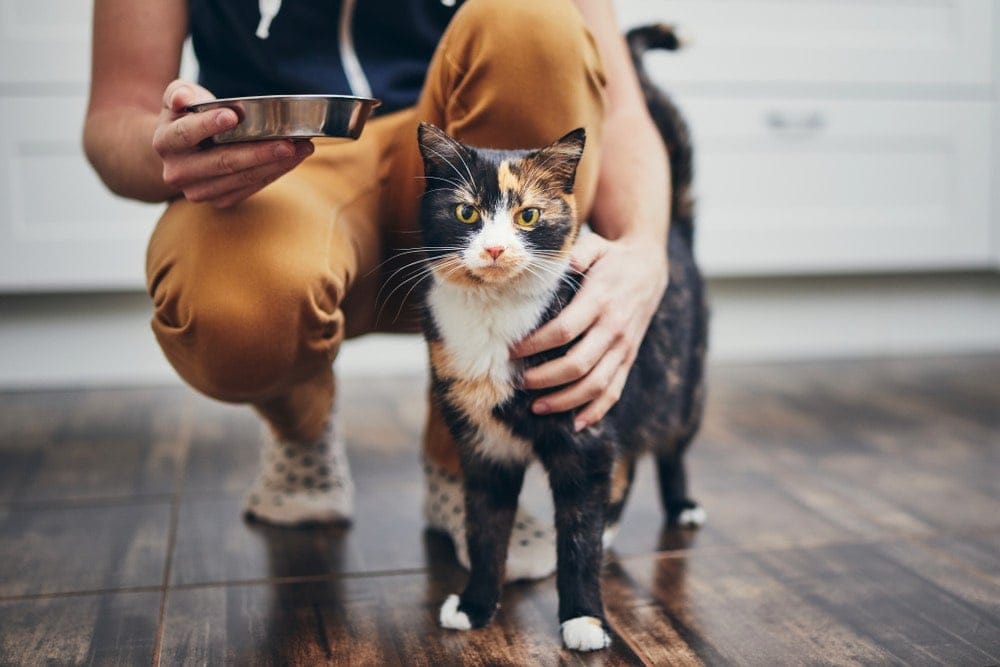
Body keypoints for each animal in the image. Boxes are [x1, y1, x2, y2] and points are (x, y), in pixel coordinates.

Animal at [414, 24, 704, 652]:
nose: (496, 249)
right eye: (466, 213)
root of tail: (673, 232)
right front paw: (475, 606)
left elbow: (576, 536)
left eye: (527, 216)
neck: (494, 317)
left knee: (669, 446)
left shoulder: (585, 433)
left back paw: (681, 504)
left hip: (680, 385)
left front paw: (585, 620)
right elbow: (485, 530)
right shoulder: (483, 446)